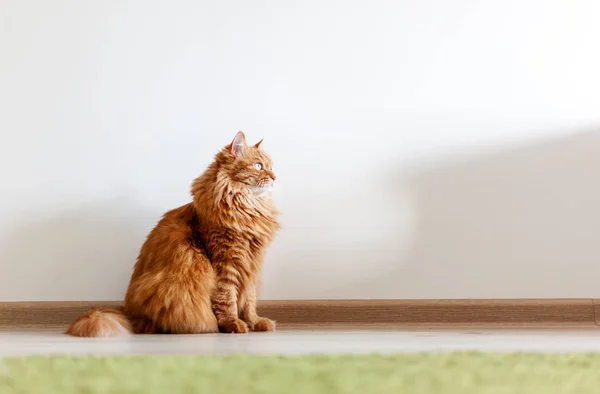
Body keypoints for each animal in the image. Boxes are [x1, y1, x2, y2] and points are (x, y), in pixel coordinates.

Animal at [67, 132, 278, 336]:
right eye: (258, 166)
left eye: (270, 167)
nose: (275, 177)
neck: (247, 209)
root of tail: (127, 312)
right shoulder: (225, 262)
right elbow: (227, 298)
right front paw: (233, 324)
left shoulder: (252, 264)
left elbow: (249, 301)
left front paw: (255, 322)